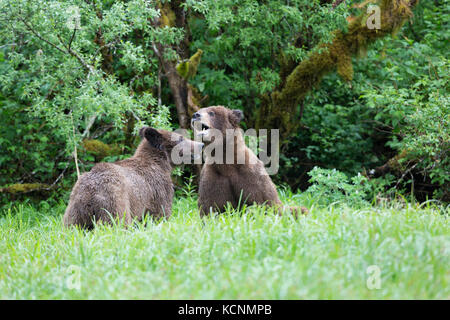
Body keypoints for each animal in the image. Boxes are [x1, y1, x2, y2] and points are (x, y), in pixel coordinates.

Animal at [62, 126, 203, 229]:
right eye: (181, 138)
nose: (200, 144)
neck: (163, 164)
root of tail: (90, 191)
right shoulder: (158, 190)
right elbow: (161, 214)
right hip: (114, 201)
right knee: (116, 223)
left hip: (76, 208)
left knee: (72, 226)